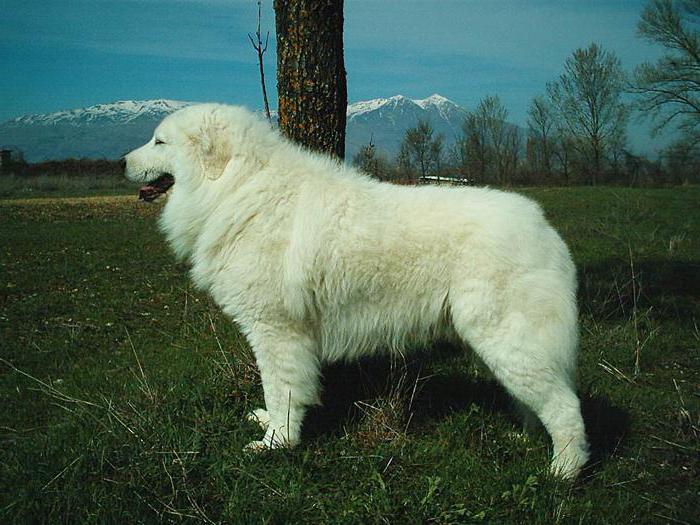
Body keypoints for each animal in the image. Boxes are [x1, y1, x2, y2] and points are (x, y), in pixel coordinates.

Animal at [123, 103, 588, 478]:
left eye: (159, 141)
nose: (122, 161)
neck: (236, 187)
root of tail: (543, 226)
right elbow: (278, 393)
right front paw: (268, 424)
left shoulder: (276, 330)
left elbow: (281, 389)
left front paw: (277, 443)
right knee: (537, 401)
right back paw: (525, 440)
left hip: (508, 339)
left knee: (565, 407)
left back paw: (562, 473)